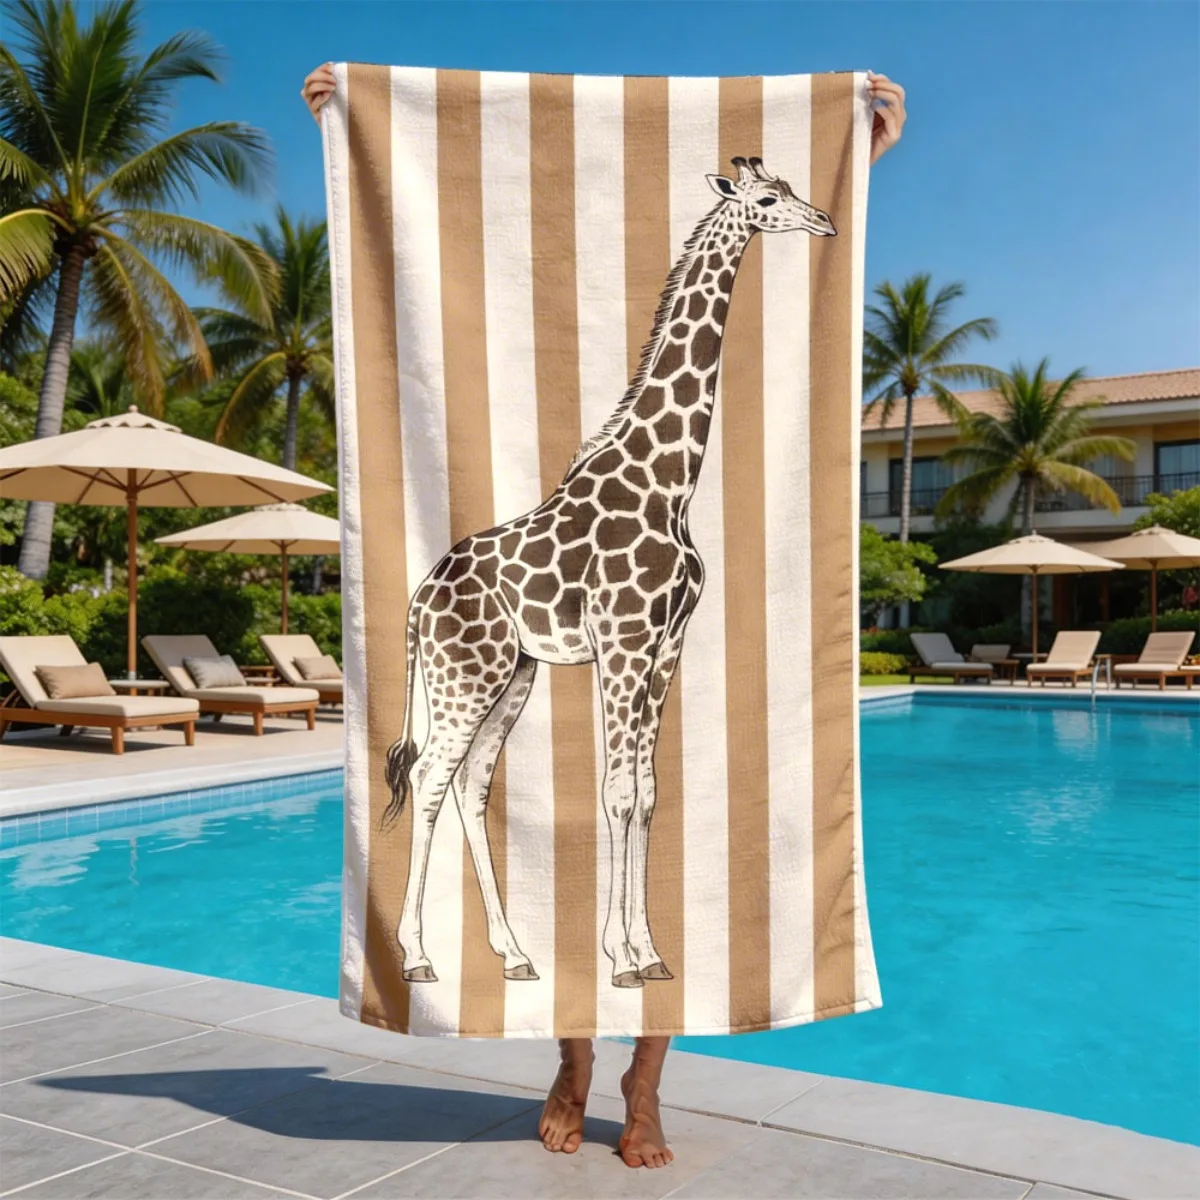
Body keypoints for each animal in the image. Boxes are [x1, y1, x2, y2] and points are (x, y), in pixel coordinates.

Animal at [384, 156, 835, 988]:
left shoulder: (666, 644)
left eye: (792, 190)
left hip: (513, 674)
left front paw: (649, 953)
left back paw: (516, 954)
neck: (669, 481)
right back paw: (419, 957)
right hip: (464, 675)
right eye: (767, 200)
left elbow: (648, 793)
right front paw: (621, 960)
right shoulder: (622, 643)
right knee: (430, 778)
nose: (824, 223)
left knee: (470, 784)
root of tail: (419, 599)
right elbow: (617, 792)